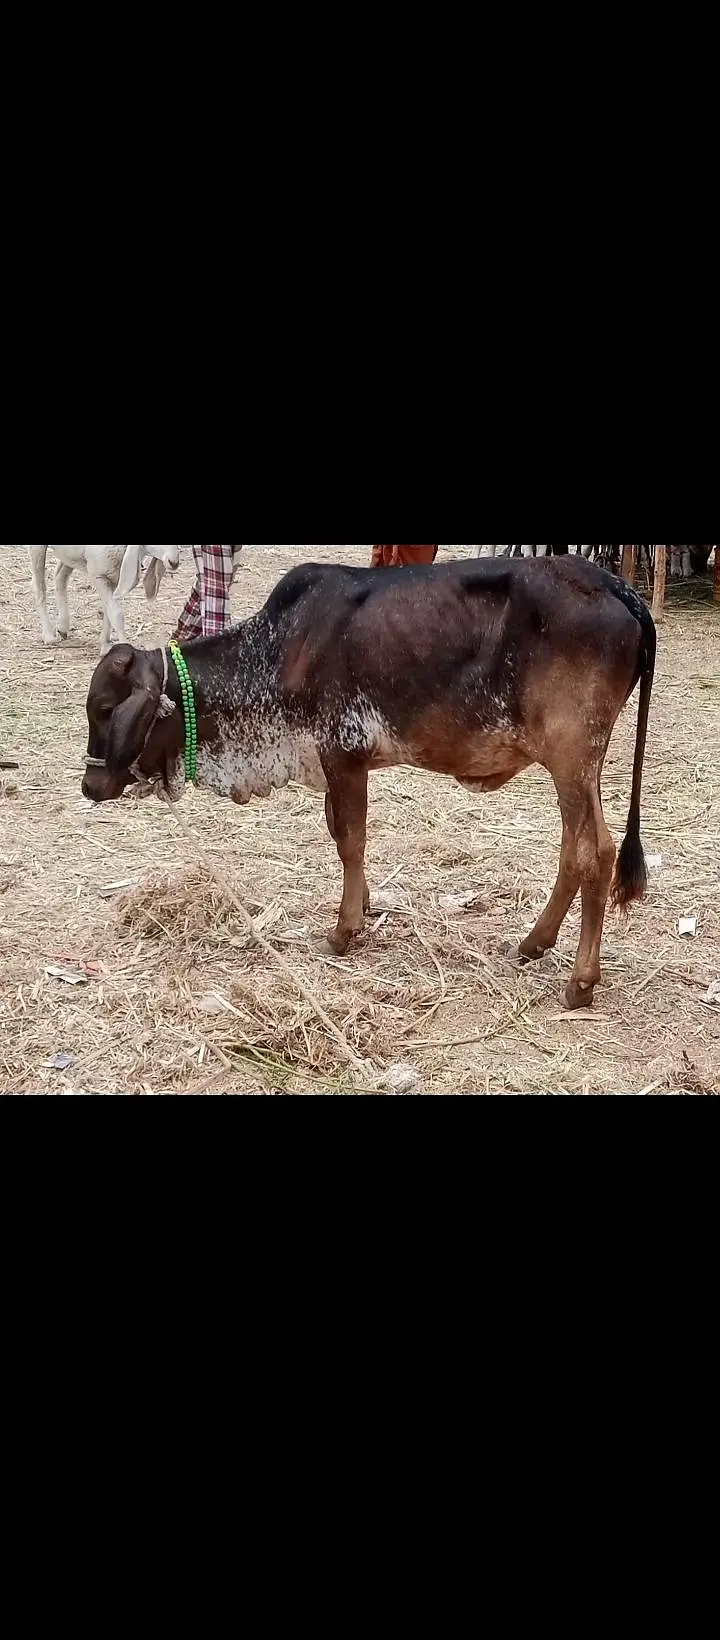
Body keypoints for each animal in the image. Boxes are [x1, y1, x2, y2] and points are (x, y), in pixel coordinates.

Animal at [82, 555, 656, 1011]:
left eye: (107, 708)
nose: (90, 785)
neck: (277, 650)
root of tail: (616, 587)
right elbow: (343, 834)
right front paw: (365, 908)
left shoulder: (342, 755)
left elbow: (349, 840)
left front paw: (344, 931)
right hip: (576, 766)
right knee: (577, 850)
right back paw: (534, 943)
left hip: (572, 755)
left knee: (594, 852)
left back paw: (580, 982)